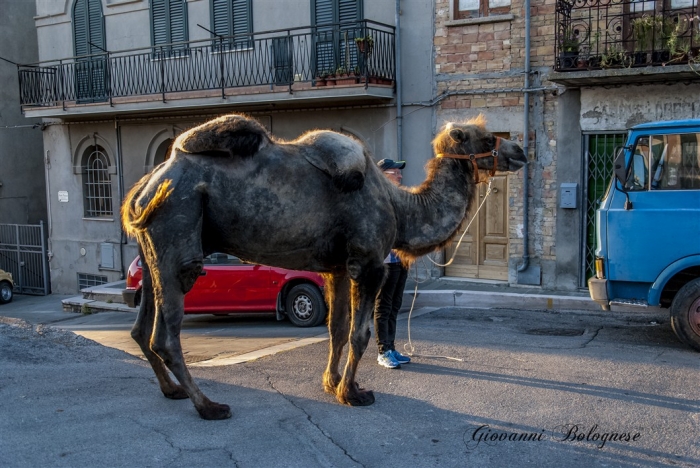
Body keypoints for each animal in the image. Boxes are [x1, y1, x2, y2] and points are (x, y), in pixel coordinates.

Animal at [120, 113, 524, 420]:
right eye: (488, 138)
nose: (520, 150)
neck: (399, 207)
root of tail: (147, 185)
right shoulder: (369, 262)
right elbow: (360, 334)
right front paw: (353, 394)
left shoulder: (337, 268)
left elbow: (337, 329)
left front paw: (333, 384)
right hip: (179, 226)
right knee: (165, 334)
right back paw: (209, 406)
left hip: (152, 247)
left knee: (141, 326)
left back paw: (172, 390)